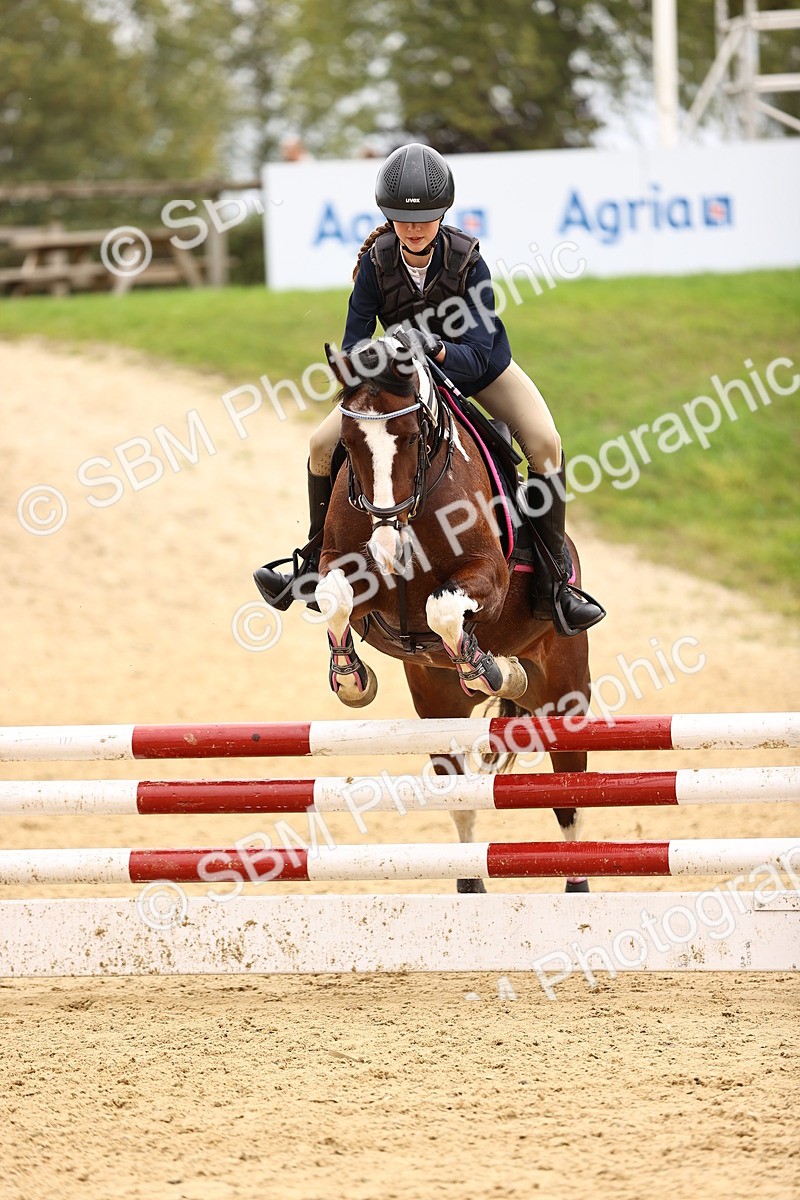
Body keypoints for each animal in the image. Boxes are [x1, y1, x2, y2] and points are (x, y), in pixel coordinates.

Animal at [311, 334, 594, 894]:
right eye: (348, 442)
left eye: (410, 435)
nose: (387, 546)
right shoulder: (348, 571)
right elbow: (335, 595)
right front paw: (351, 678)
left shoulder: (490, 576)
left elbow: (442, 608)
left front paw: (487, 670)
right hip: (437, 708)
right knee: (461, 798)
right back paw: (468, 883)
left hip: (566, 696)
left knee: (569, 801)